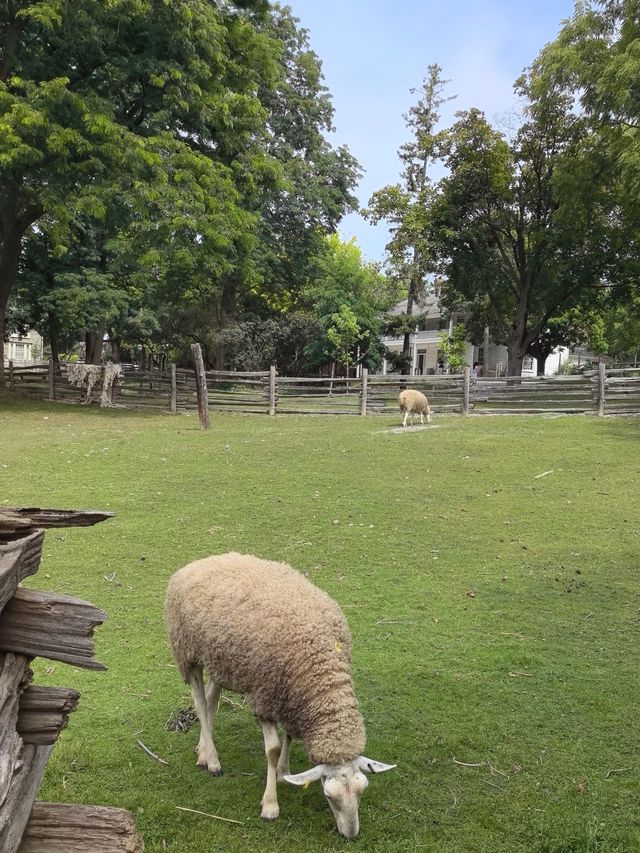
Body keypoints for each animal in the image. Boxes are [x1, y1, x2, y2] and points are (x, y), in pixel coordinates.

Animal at [165, 552, 396, 840]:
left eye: (362, 790)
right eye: (328, 796)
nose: (351, 835)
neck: (321, 672)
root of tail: (202, 561)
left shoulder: (290, 697)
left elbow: (289, 736)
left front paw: (284, 773)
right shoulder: (264, 697)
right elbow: (272, 750)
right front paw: (270, 805)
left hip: (221, 660)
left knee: (211, 700)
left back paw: (203, 751)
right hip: (187, 652)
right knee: (198, 701)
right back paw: (213, 761)